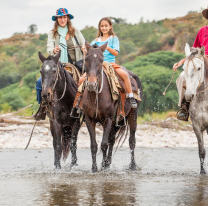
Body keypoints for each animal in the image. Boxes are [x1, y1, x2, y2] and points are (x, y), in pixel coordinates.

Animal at [82, 41, 142, 172]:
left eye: (101, 60)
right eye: (86, 59)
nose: (92, 84)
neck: (96, 95)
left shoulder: (108, 119)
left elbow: (104, 144)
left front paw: (103, 166)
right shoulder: (89, 119)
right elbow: (94, 145)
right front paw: (95, 167)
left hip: (132, 115)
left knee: (131, 141)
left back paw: (133, 165)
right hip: (116, 121)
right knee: (112, 140)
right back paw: (107, 163)